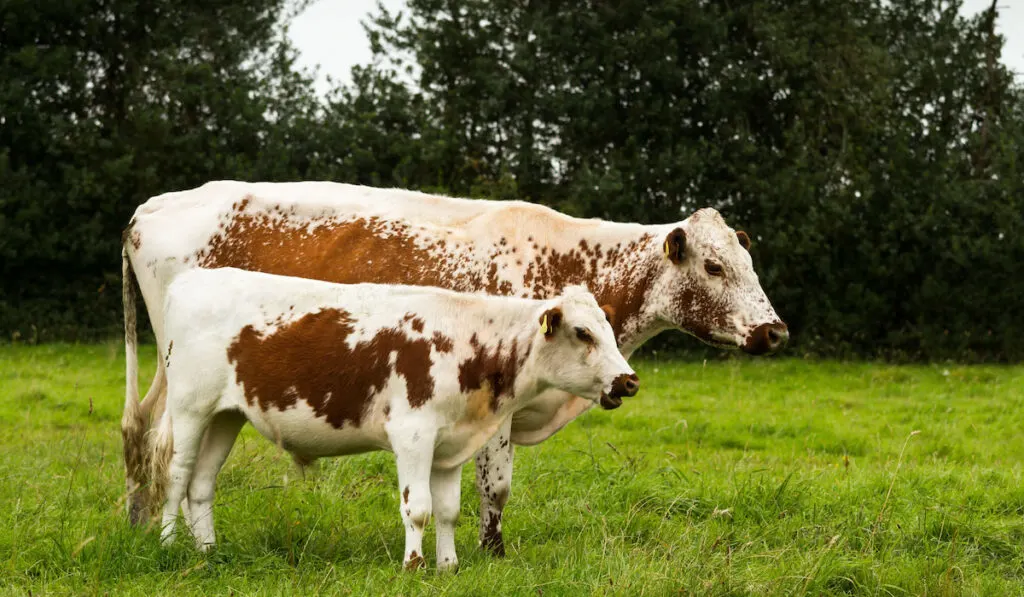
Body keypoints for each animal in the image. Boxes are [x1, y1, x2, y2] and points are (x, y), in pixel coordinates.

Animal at [134, 268, 630, 573]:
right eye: (582, 332)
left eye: (607, 328)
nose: (628, 381)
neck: (467, 343)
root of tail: (196, 277)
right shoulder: (413, 435)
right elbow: (418, 508)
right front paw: (414, 566)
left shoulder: (451, 445)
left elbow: (448, 511)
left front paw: (448, 567)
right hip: (191, 407)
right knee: (176, 477)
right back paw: (168, 547)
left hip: (226, 415)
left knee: (201, 484)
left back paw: (208, 551)